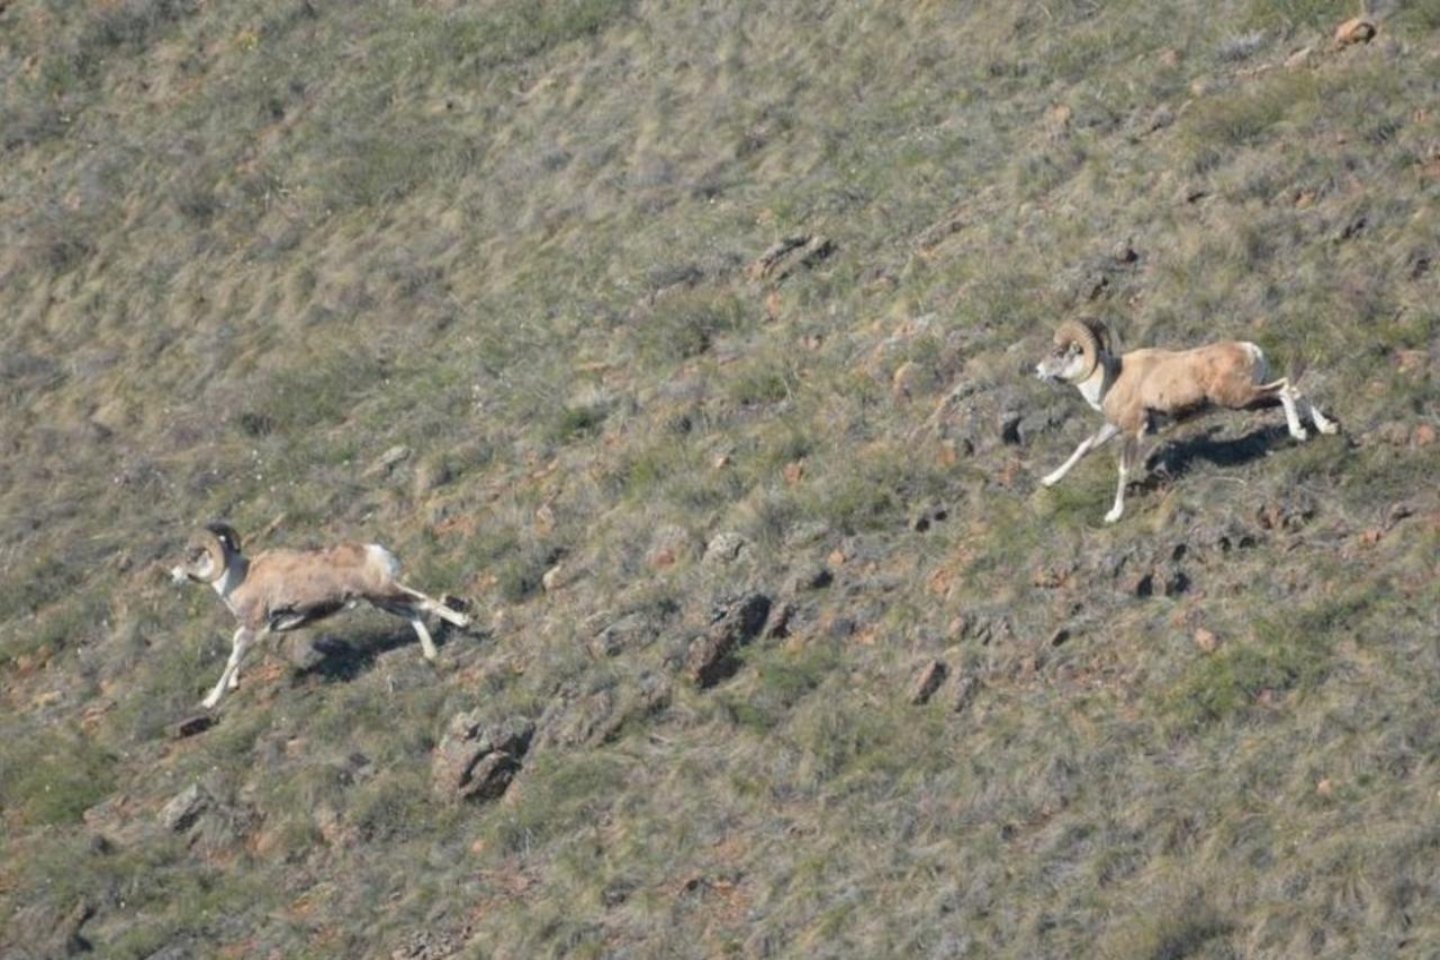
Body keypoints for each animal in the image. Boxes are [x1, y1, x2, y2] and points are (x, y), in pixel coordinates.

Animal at [171, 521, 469, 711]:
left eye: (192, 556)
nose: (173, 575)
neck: (239, 578)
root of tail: (376, 552)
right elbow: (236, 656)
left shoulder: (253, 628)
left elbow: (233, 658)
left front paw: (210, 701)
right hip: (381, 600)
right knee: (413, 613)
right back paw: (430, 654)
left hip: (385, 590)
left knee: (424, 602)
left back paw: (465, 622)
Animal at [1036, 319, 1336, 521]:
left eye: (1059, 353)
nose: (1037, 370)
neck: (1110, 380)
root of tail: (1251, 349)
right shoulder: (1112, 427)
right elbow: (1083, 448)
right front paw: (1048, 481)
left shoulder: (1132, 431)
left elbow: (1123, 469)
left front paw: (1114, 514)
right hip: (1249, 399)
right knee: (1294, 390)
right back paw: (1326, 428)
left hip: (1240, 399)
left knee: (1285, 389)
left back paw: (1299, 432)